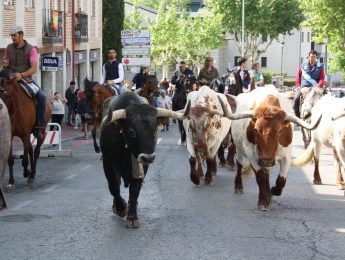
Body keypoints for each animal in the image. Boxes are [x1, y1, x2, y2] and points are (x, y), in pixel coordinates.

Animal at [99, 92, 189, 228]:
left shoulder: (142, 166)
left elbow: (135, 190)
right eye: (131, 131)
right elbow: (114, 187)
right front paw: (121, 208)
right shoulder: (108, 164)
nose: (148, 157)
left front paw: (132, 216)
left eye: (155, 130)